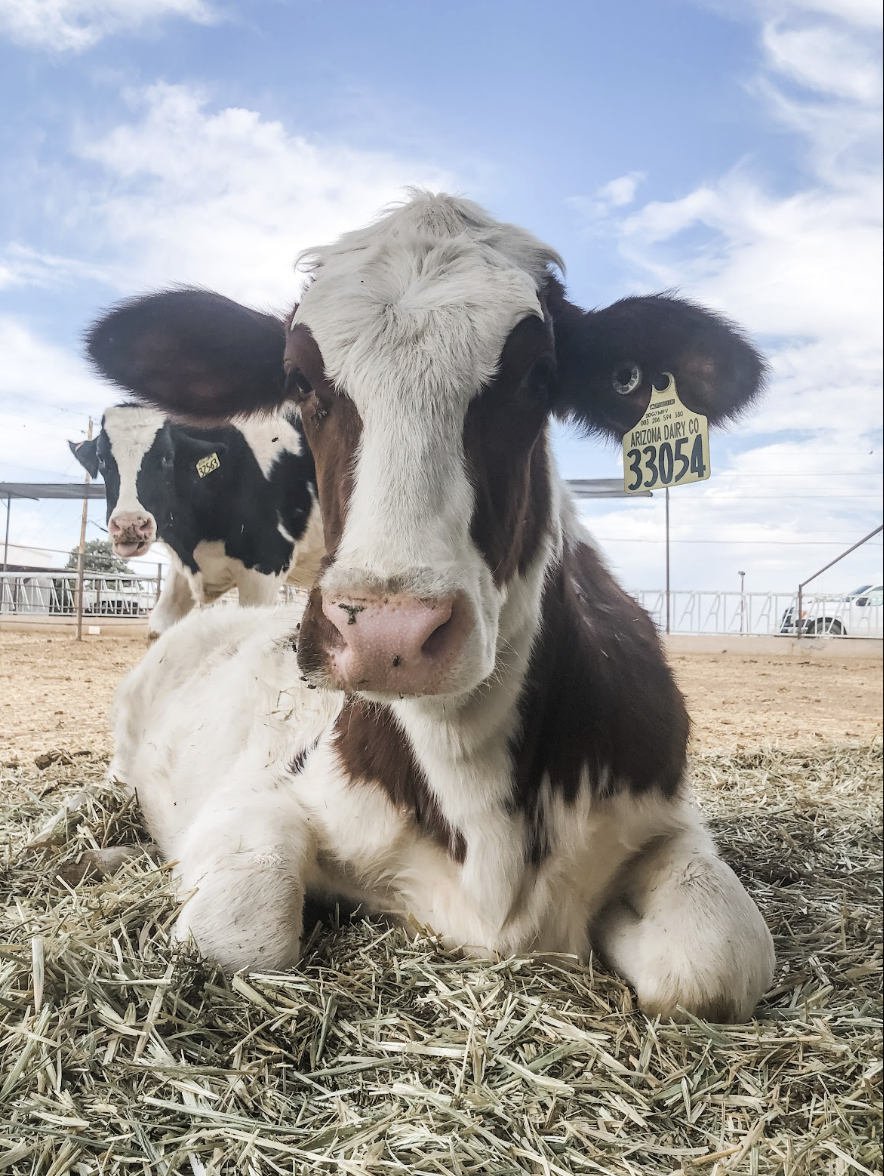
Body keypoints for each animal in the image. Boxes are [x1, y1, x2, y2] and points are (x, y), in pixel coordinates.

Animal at [69, 400, 323, 639]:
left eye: (168, 457)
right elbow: (160, 630)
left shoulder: (266, 566)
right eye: (101, 458)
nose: (129, 524)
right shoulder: (185, 568)